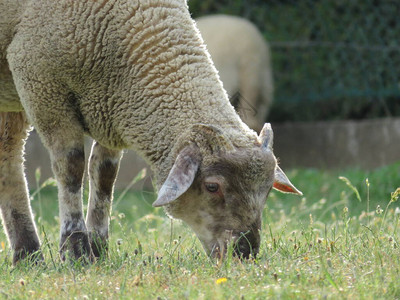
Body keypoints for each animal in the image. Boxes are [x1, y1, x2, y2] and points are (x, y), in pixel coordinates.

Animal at [0, 0, 300, 264]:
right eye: (212, 187)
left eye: (267, 190)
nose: (243, 253)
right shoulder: (42, 86)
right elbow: (71, 169)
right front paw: (76, 251)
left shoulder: (110, 107)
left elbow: (104, 174)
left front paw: (98, 250)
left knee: (8, 159)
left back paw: (27, 255)